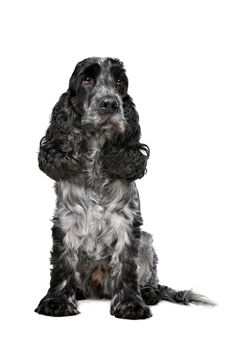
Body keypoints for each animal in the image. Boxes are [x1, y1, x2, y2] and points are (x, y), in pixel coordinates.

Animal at [34, 56, 213, 318]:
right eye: (87, 79)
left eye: (120, 81)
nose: (110, 103)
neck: (96, 163)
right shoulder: (66, 219)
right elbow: (62, 263)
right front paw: (56, 302)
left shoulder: (126, 221)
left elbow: (127, 265)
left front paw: (130, 304)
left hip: (147, 240)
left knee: (151, 279)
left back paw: (148, 293)